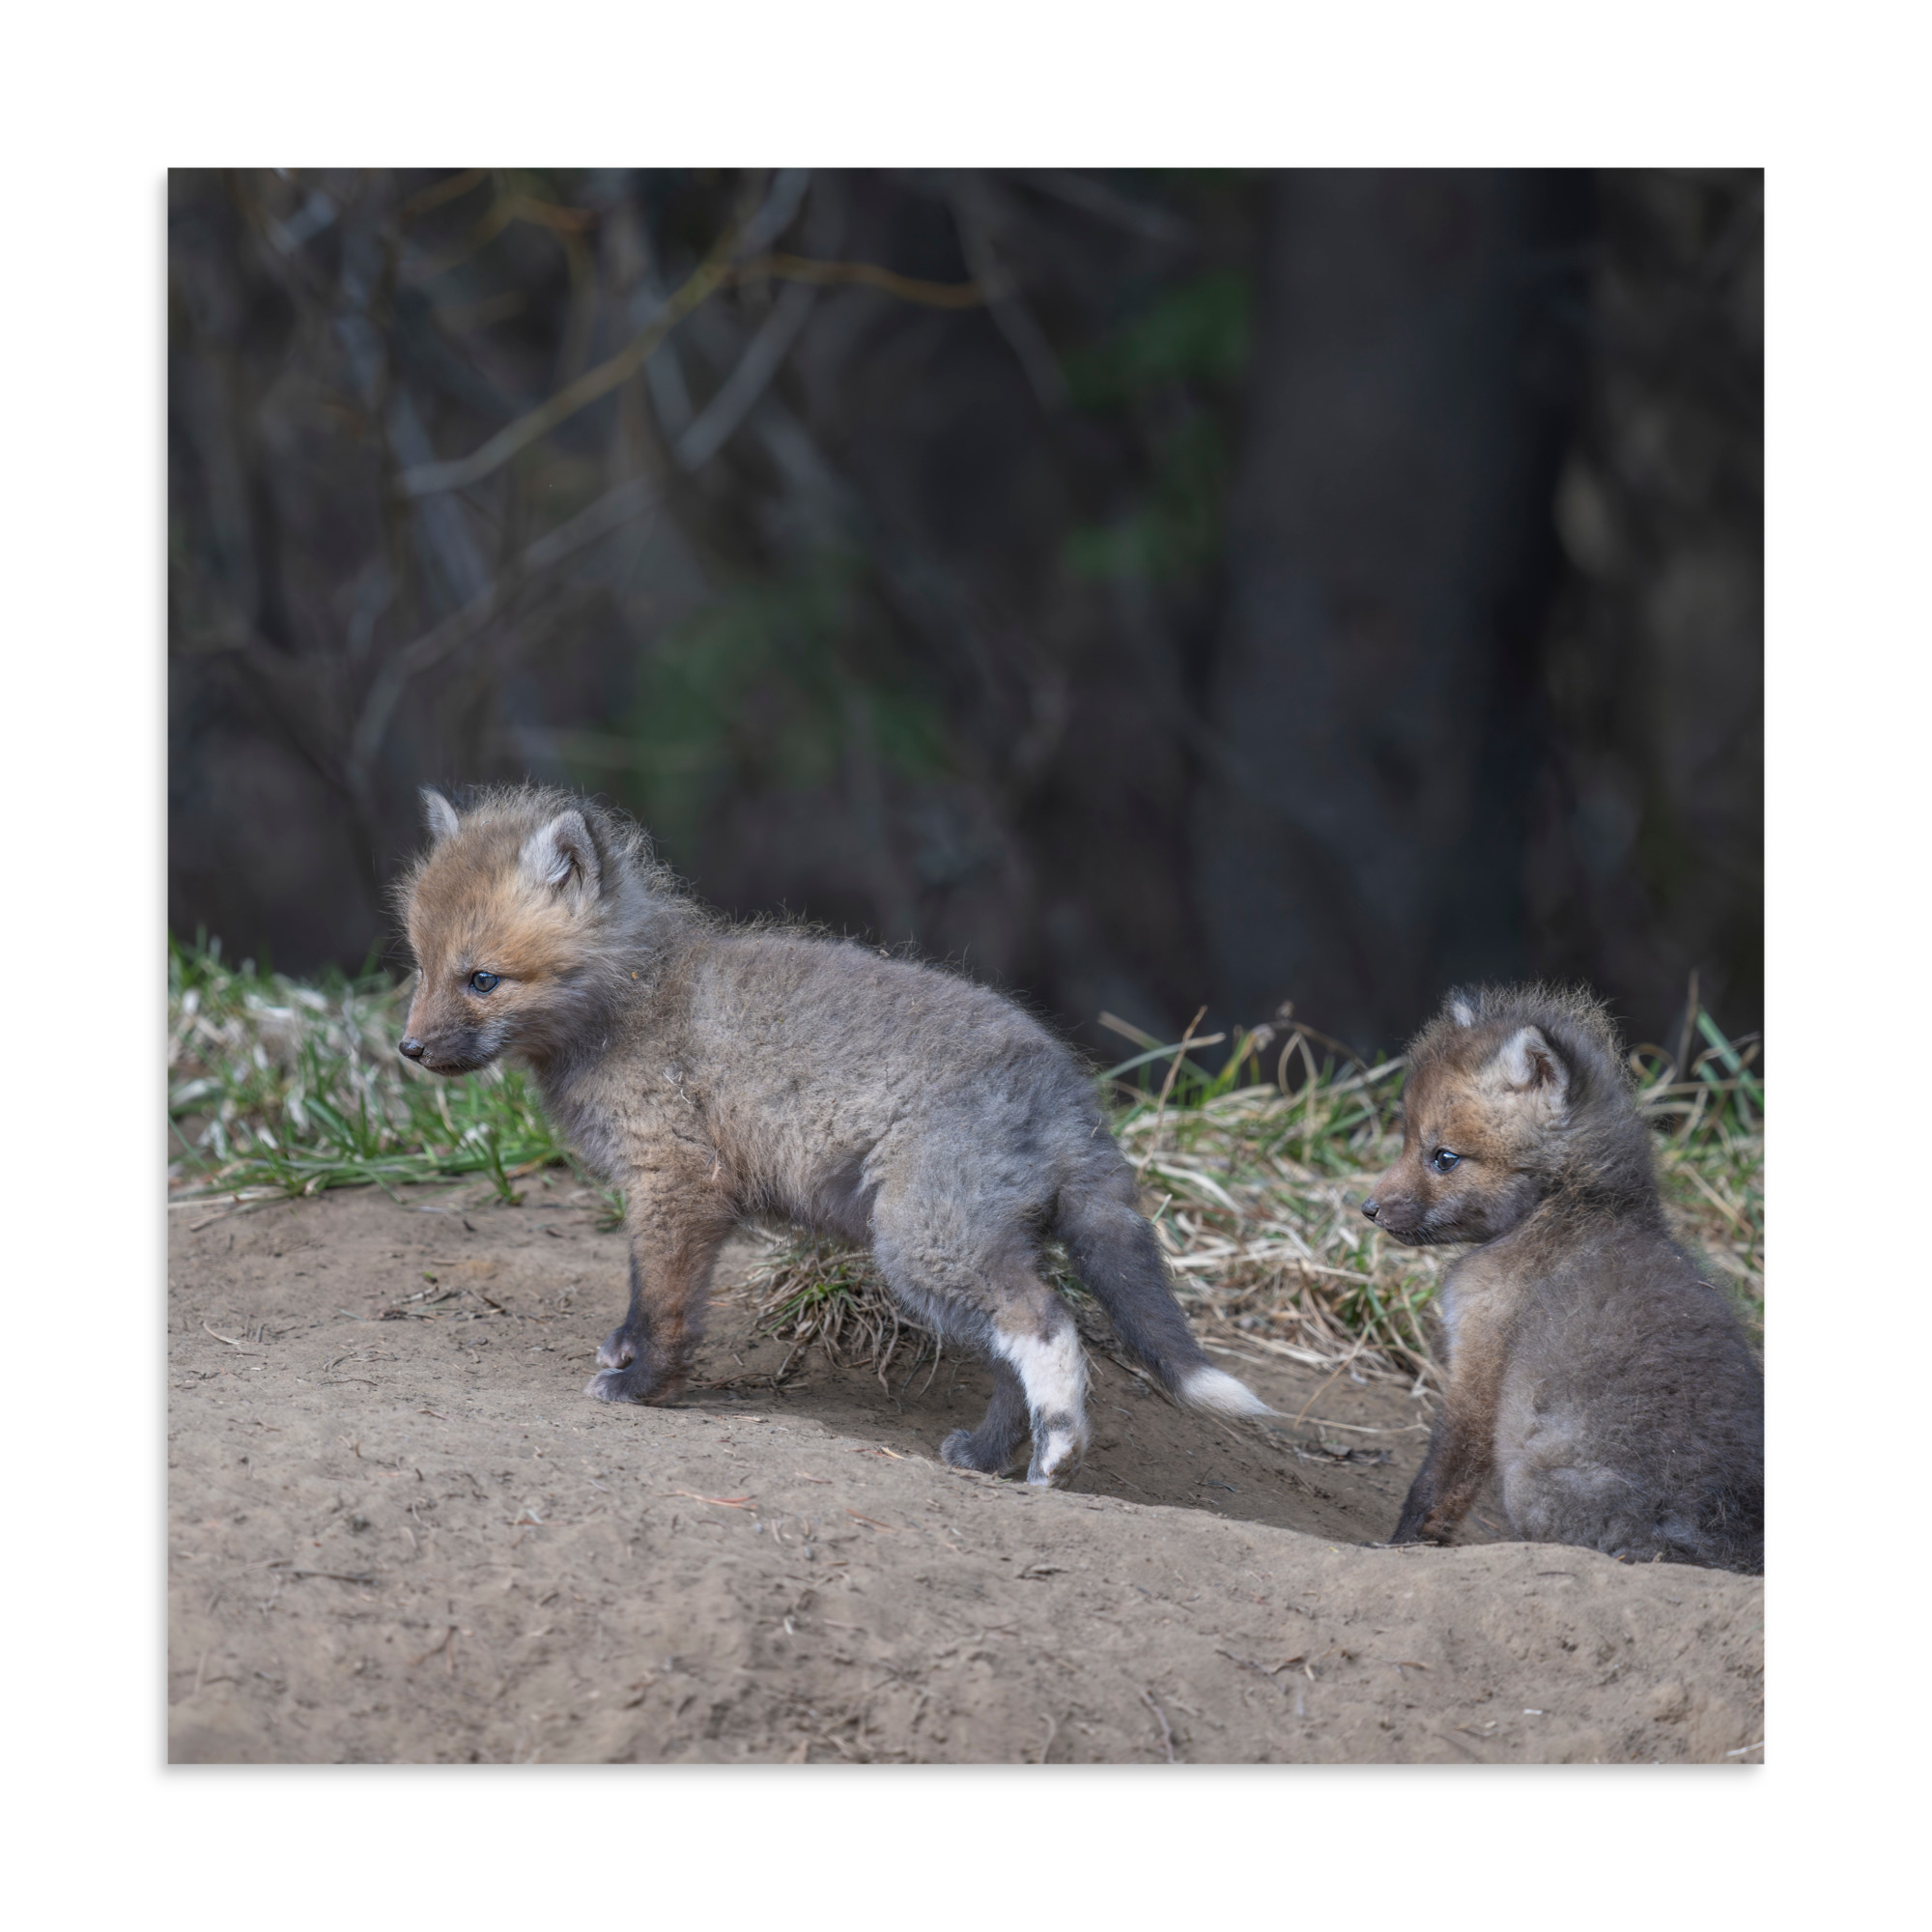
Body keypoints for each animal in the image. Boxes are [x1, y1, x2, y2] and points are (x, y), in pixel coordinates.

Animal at [393, 783, 1270, 1487]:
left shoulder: (678, 1183)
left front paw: (643, 1387)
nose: (409, 1049)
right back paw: (989, 1456)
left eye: (482, 979)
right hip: (964, 1252)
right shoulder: (669, 1193)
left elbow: (665, 1303)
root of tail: (1069, 1089)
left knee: (1047, 1324)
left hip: (923, 1245)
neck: (632, 1002)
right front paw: (628, 1355)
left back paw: (1059, 1453)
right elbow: (646, 1294)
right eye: (421, 967)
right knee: (1010, 1359)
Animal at [1363, 984, 1762, 1572]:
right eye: (1407, 1141)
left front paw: (1402, 1547)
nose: (1367, 1209)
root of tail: (1729, 1544)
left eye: (1444, 1158)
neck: (1565, 1207)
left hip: (1530, 1481)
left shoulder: (1480, 1364)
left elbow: (1438, 1482)